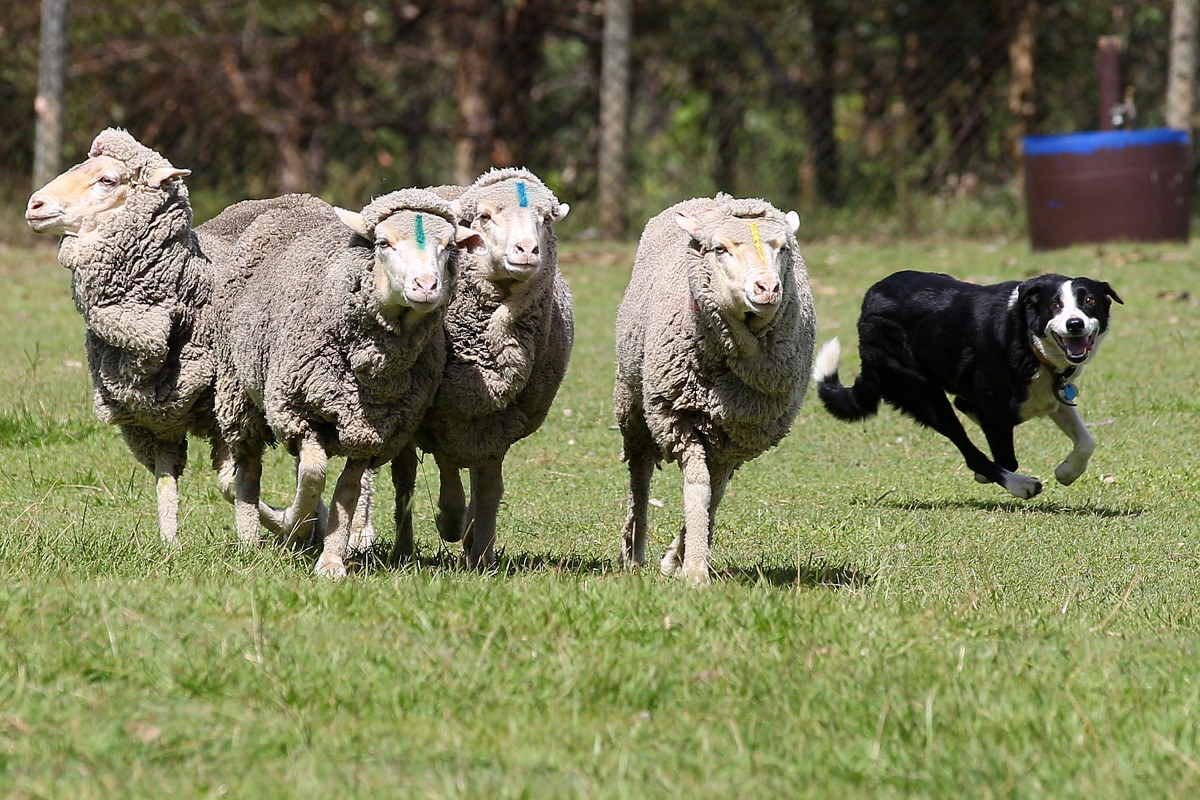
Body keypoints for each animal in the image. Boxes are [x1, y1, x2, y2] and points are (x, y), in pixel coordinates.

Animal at [213, 189, 484, 575]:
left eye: (449, 246)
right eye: (384, 243)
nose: (426, 286)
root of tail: (289, 198)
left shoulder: (372, 433)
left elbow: (347, 492)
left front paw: (330, 560)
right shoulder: (301, 413)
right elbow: (313, 475)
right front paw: (294, 525)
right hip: (238, 391)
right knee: (248, 468)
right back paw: (251, 537)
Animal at [619, 191, 816, 582]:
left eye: (783, 247)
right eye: (720, 249)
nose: (767, 288)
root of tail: (712, 197)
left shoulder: (737, 432)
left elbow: (715, 493)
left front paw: (680, 558)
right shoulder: (679, 418)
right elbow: (698, 490)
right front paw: (695, 570)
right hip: (633, 401)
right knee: (640, 472)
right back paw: (633, 551)